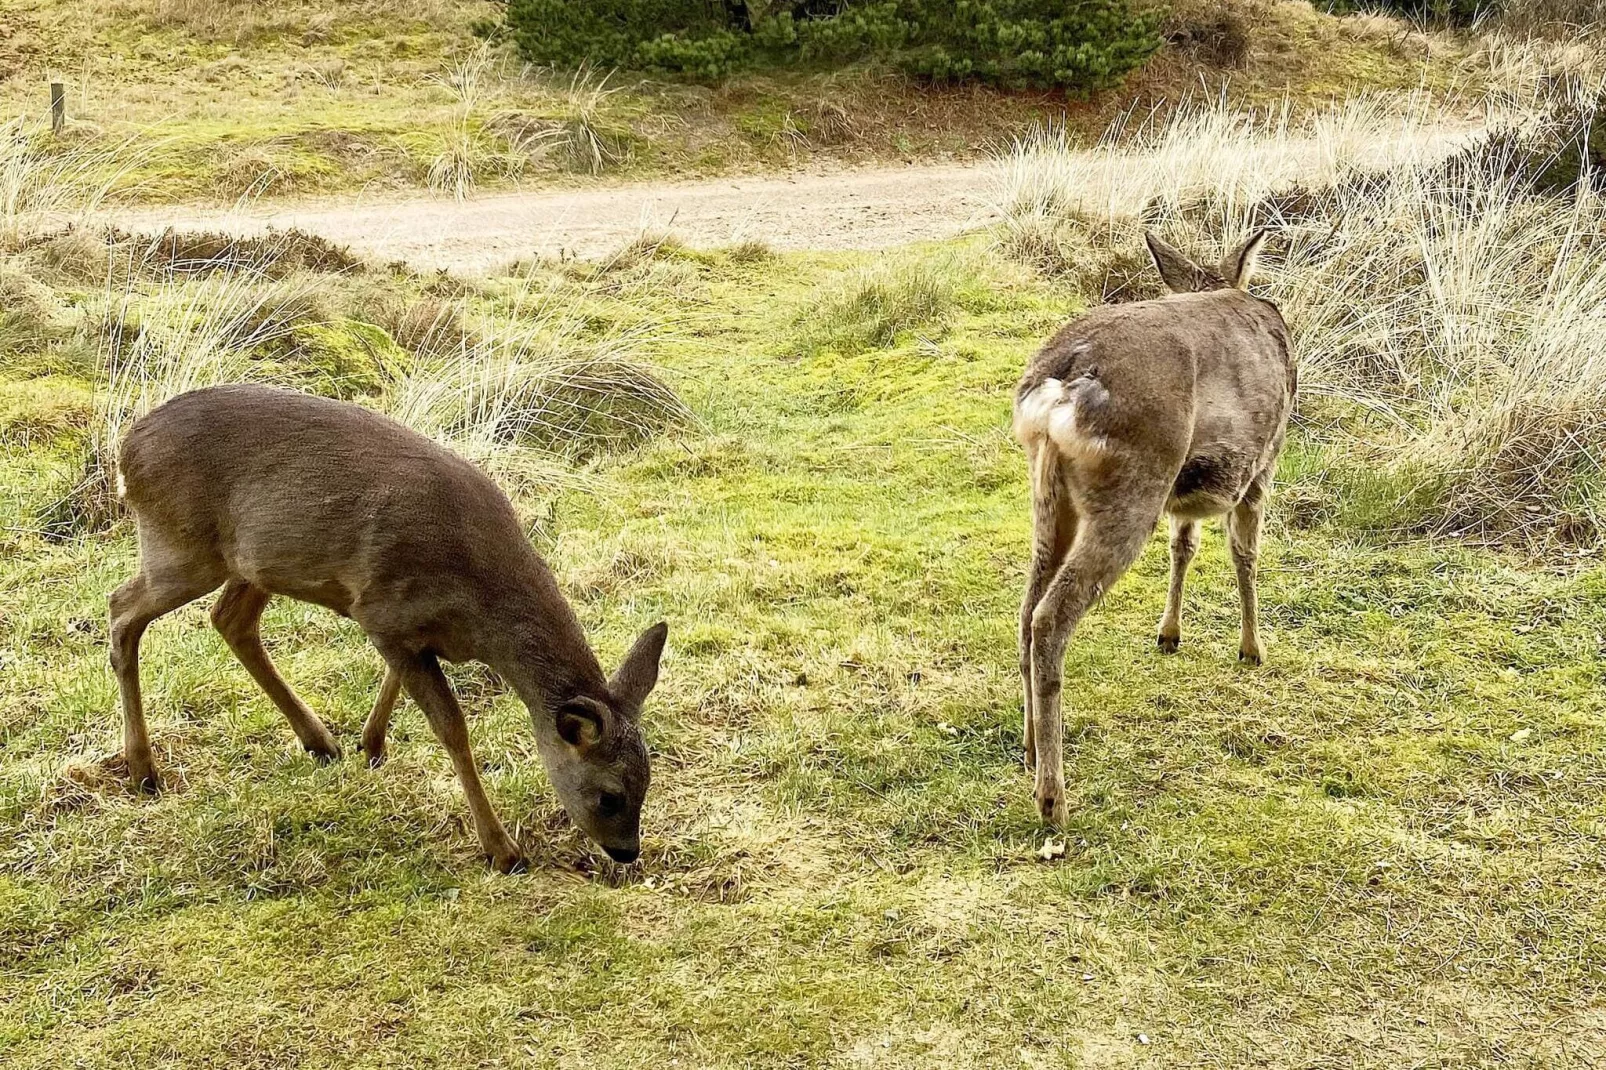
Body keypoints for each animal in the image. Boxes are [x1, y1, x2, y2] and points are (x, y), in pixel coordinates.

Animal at [111, 383, 664, 867]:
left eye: (648, 781)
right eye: (610, 796)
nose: (626, 852)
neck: (482, 609)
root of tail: (127, 447)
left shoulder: (399, 624)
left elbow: (397, 680)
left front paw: (370, 744)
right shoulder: (381, 609)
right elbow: (451, 727)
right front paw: (502, 849)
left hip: (256, 563)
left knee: (229, 620)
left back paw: (319, 741)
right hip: (181, 547)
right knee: (121, 608)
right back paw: (143, 770)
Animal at [1014, 229, 1291, 819]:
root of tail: (1059, 384)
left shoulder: (1183, 498)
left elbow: (1183, 544)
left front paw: (1170, 634)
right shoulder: (1264, 461)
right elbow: (1245, 553)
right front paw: (1252, 649)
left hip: (1049, 494)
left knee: (1026, 608)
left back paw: (1028, 748)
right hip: (1135, 482)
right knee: (1050, 617)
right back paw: (1053, 797)